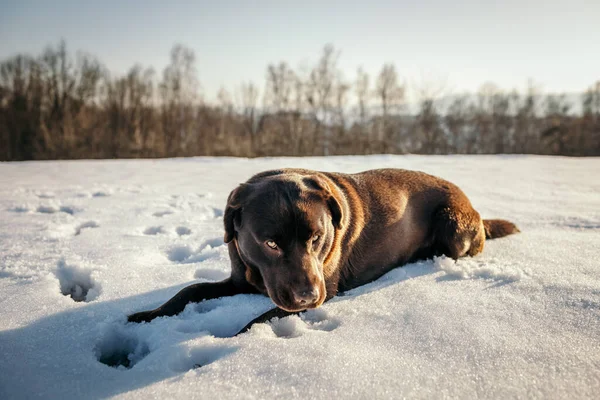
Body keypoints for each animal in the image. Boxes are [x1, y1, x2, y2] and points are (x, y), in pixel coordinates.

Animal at [127, 167, 520, 332]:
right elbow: (188, 290)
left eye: (316, 238)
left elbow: (257, 321)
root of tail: (473, 206)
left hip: (453, 223)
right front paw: (144, 316)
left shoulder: (320, 289)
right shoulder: (240, 278)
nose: (307, 296)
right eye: (270, 243)